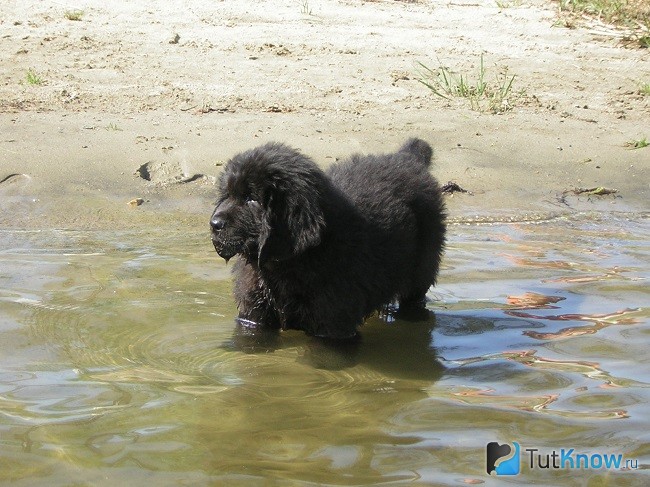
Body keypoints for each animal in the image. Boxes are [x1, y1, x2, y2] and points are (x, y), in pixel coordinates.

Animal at [210, 138, 442, 340]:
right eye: (227, 195)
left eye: (251, 199)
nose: (214, 224)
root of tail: (408, 158)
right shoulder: (254, 317)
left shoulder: (333, 324)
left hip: (421, 270)